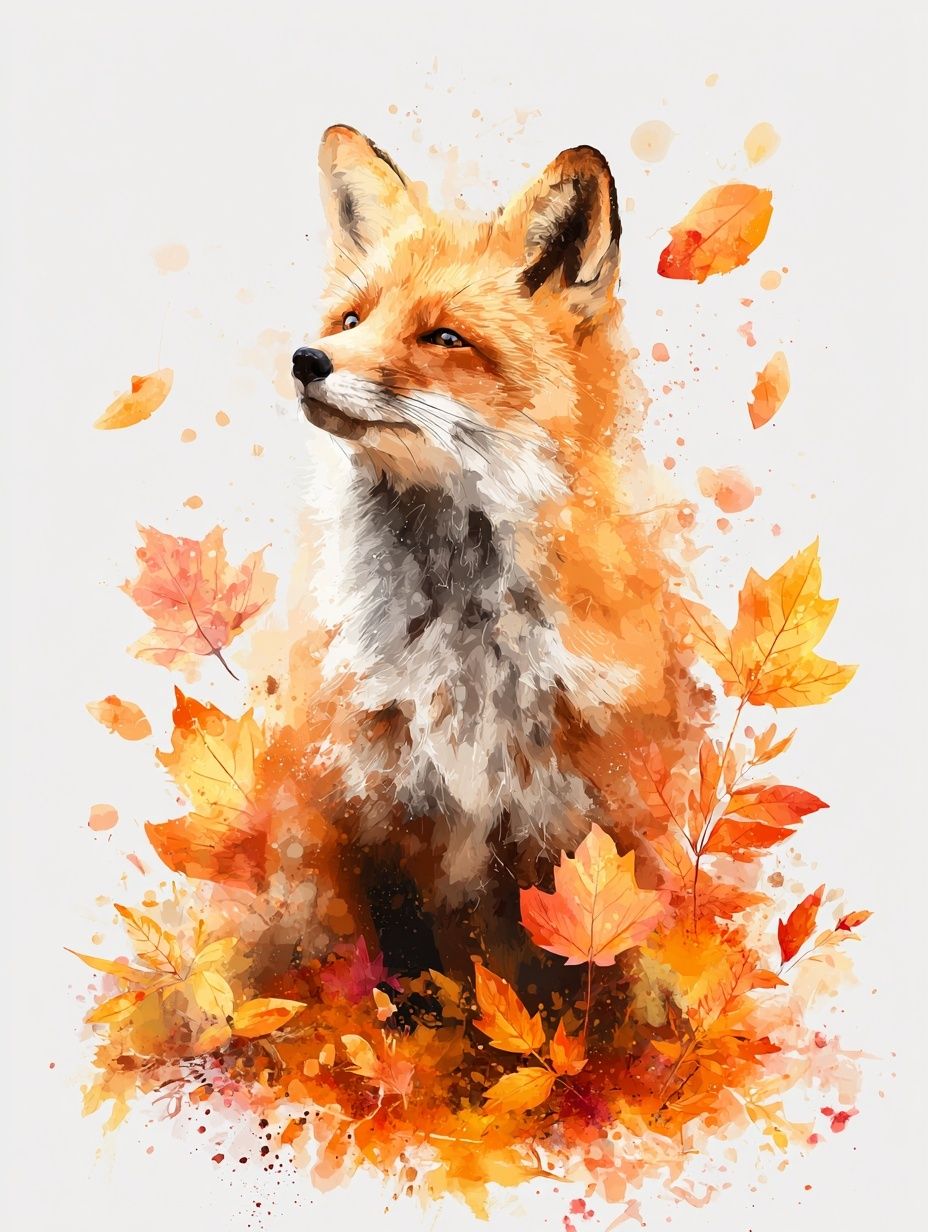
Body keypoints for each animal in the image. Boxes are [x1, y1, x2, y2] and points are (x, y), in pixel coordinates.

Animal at [283, 125, 706, 986]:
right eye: (350, 318)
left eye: (444, 337)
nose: (308, 360)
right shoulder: (375, 818)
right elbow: (407, 980)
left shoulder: (573, 825)